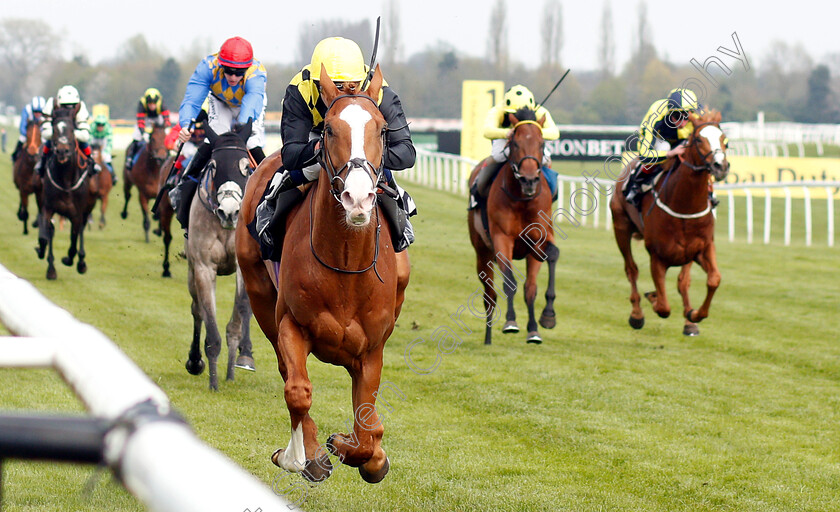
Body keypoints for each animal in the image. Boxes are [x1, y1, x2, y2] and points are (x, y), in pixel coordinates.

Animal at [36, 104, 97, 280]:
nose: (62, 152)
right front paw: (49, 266)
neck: (66, 181)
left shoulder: (77, 213)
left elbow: (74, 240)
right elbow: (46, 236)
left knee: (80, 231)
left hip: (87, 209)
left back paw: (81, 262)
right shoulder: (48, 207)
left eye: (71, 129)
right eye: (55, 129)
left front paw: (70, 259)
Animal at [186, 122, 256, 390]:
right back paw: (195, 361)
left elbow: (239, 316)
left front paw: (235, 367)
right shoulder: (204, 267)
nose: (229, 211)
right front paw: (214, 382)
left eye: (245, 167)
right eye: (213, 166)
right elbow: (208, 318)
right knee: (196, 309)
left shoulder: (243, 266)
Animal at [236, 64, 410, 484]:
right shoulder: (292, 325)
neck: (346, 266)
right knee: (287, 372)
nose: (358, 198)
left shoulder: (372, 349)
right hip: (261, 297)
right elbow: (298, 390)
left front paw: (360, 450)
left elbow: (368, 431)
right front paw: (302, 456)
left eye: (383, 129)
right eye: (329, 129)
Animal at [466, 109, 556, 348]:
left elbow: (531, 287)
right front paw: (511, 322)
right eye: (514, 143)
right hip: (482, 252)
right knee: (490, 295)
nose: (529, 180)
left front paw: (538, 326)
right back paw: (488, 337)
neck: (523, 200)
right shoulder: (502, 239)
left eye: (542, 143)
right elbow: (510, 283)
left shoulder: (538, 240)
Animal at [612, 109, 728, 336]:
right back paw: (637, 314)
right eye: (699, 139)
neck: (683, 205)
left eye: (724, 139)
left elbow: (710, 280)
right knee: (631, 269)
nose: (721, 166)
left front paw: (693, 316)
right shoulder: (657, 256)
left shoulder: (701, 248)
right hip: (620, 228)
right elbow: (664, 307)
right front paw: (654, 299)